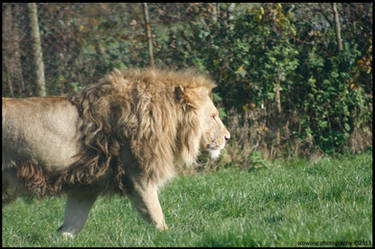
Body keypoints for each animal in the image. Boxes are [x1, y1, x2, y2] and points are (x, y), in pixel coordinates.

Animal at [2, 68, 231, 237]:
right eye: (213, 116)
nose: (228, 137)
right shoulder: (138, 175)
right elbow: (156, 214)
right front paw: (170, 236)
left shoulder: (85, 184)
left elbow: (72, 222)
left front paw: (60, 238)